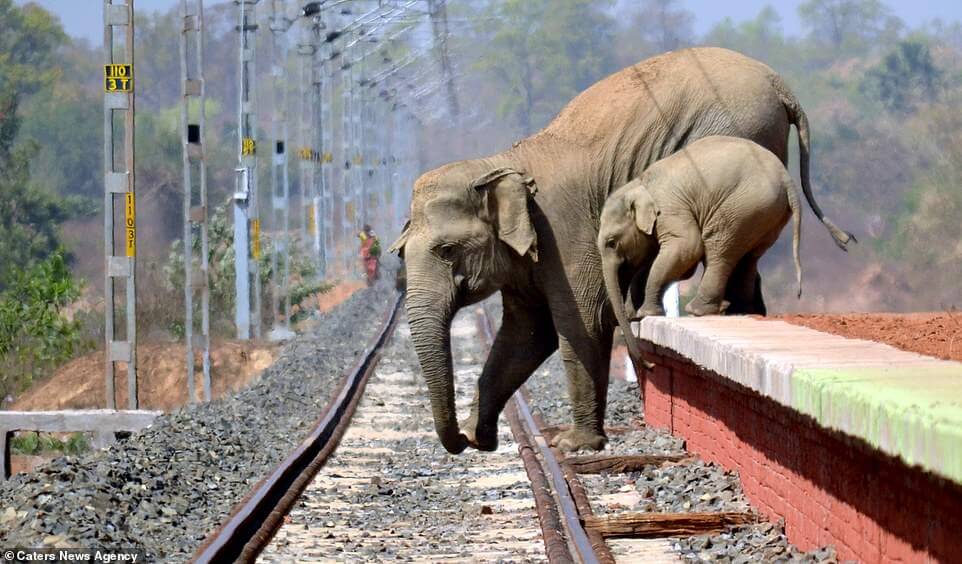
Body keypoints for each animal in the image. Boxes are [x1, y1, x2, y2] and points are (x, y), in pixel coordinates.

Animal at [596, 138, 800, 362]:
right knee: (749, 257)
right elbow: (677, 264)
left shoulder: (670, 210)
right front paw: (636, 313)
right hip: (766, 214)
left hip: (742, 207)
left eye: (612, 242)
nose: (647, 363)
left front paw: (644, 313)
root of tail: (786, 179)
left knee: (718, 249)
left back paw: (697, 310)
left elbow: (687, 248)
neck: (639, 184)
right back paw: (737, 311)